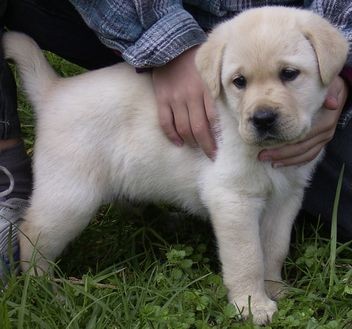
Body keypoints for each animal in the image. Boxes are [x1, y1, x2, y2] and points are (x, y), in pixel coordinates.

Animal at [4, 6, 348, 324]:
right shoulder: (232, 199)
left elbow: (275, 248)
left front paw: (276, 289)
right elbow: (247, 257)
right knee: (30, 235)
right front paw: (253, 304)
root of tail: (53, 91)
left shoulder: (286, 197)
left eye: (289, 74)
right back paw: (46, 293)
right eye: (239, 82)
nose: (262, 119)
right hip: (71, 198)